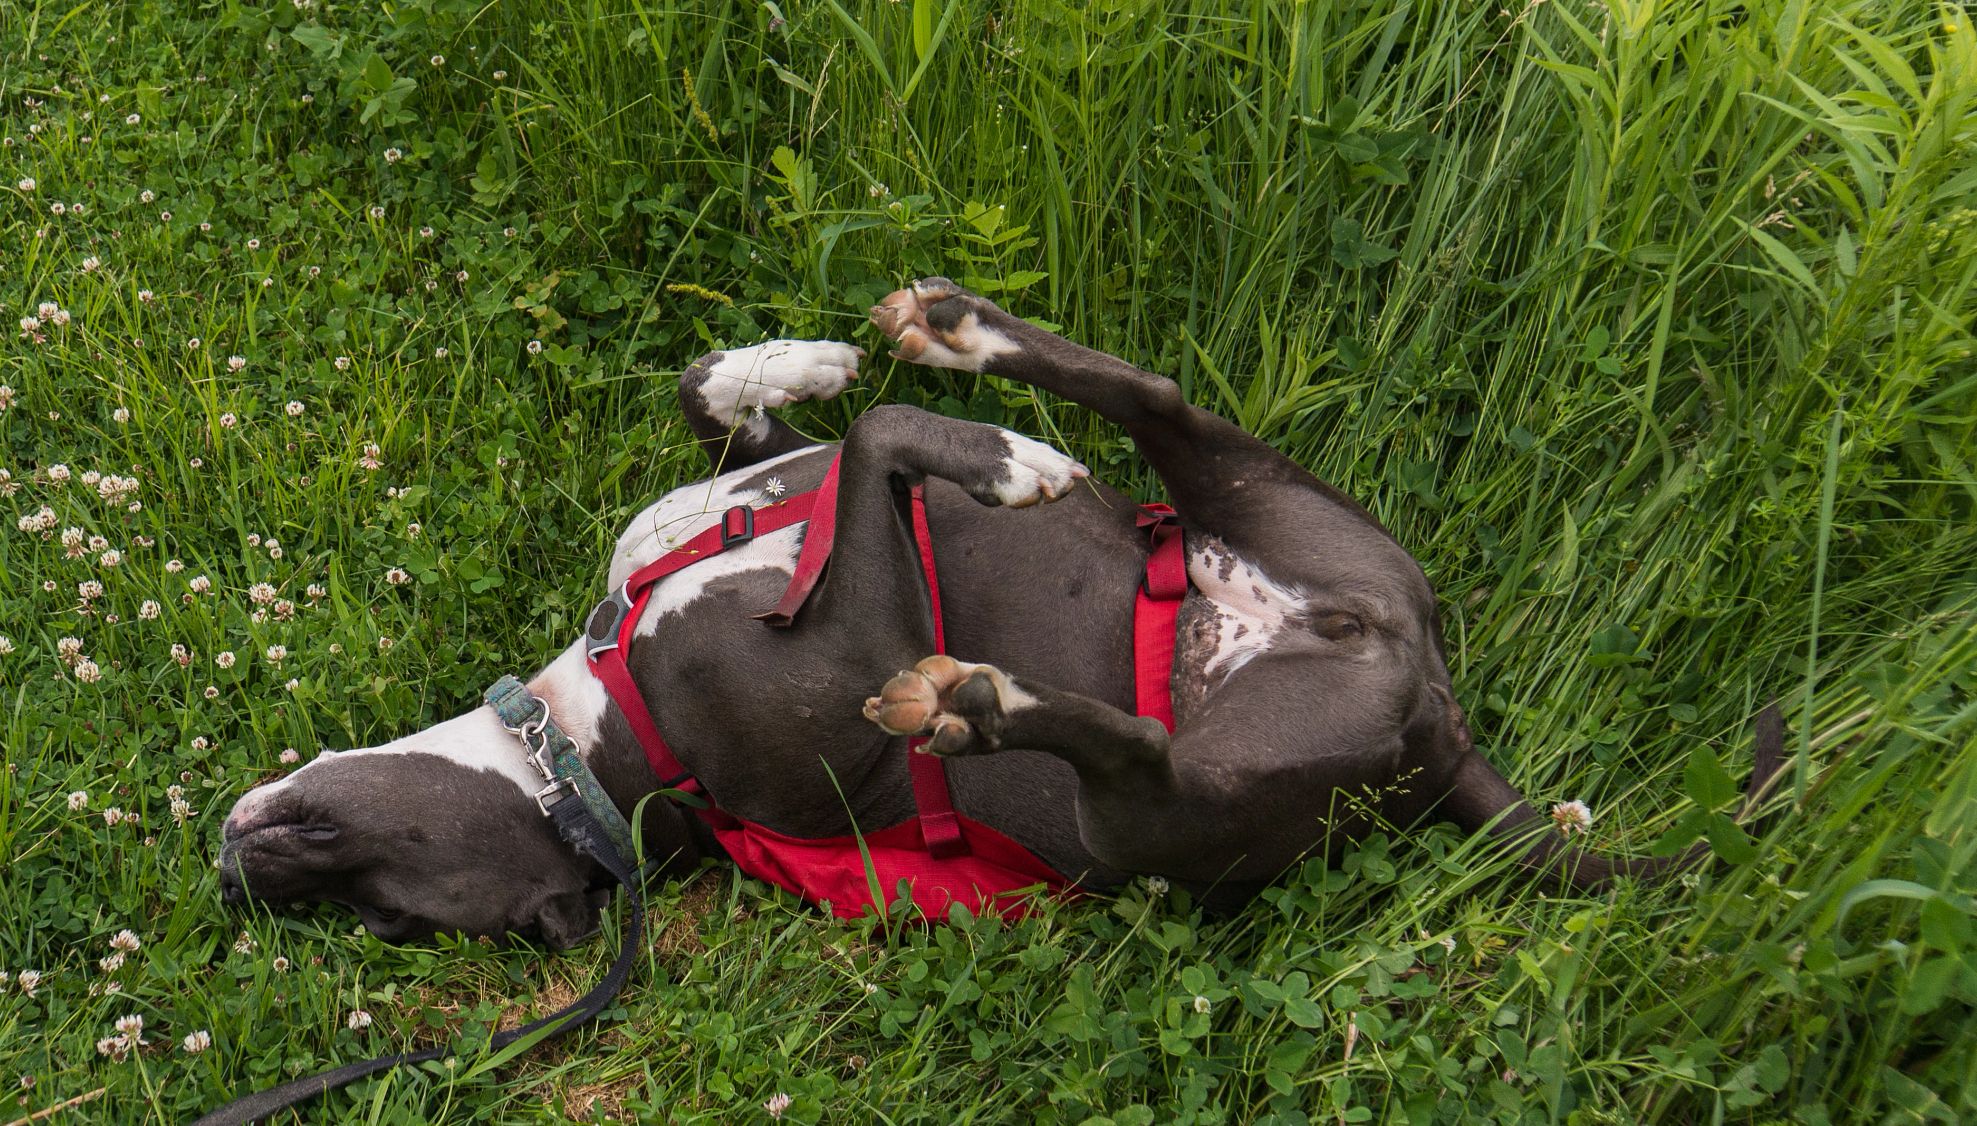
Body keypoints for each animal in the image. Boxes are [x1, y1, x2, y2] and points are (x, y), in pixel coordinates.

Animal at [216, 276, 1779, 944]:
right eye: (391, 920)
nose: (239, 872)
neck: (594, 742)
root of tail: (1433, 721)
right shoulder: (853, 643)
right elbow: (873, 444)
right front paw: (995, 462)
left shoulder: (760, 498)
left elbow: (757, 408)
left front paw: (801, 355)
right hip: (1178, 820)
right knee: (1130, 748)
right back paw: (975, 693)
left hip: (1257, 493)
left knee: (1153, 397)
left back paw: (964, 332)